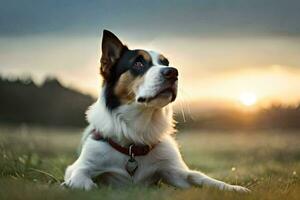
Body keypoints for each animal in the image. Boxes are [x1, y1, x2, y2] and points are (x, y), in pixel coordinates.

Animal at [62, 29, 248, 192]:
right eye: (138, 63)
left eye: (166, 63)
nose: (173, 72)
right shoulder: (84, 162)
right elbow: (79, 174)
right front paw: (79, 185)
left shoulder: (174, 171)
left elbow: (199, 177)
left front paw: (234, 188)